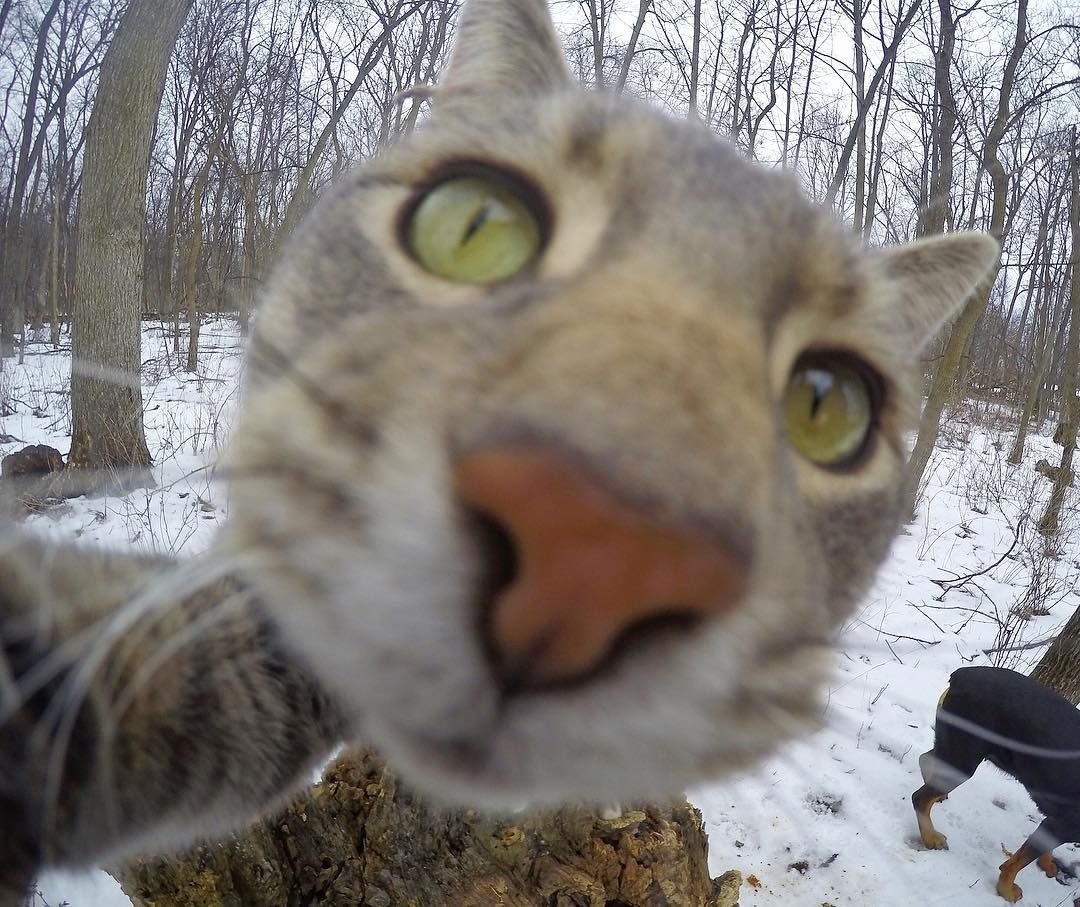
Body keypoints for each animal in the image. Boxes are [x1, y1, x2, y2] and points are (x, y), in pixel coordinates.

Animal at [912, 665, 1080, 901]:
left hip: (955, 749)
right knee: (919, 797)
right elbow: (1017, 862)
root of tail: (961, 674)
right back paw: (930, 837)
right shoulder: (1064, 825)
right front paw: (1006, 889)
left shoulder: (1056, 823)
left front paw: (1046, 864)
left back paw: (938, 800)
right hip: (964, 757)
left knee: (926, 760)